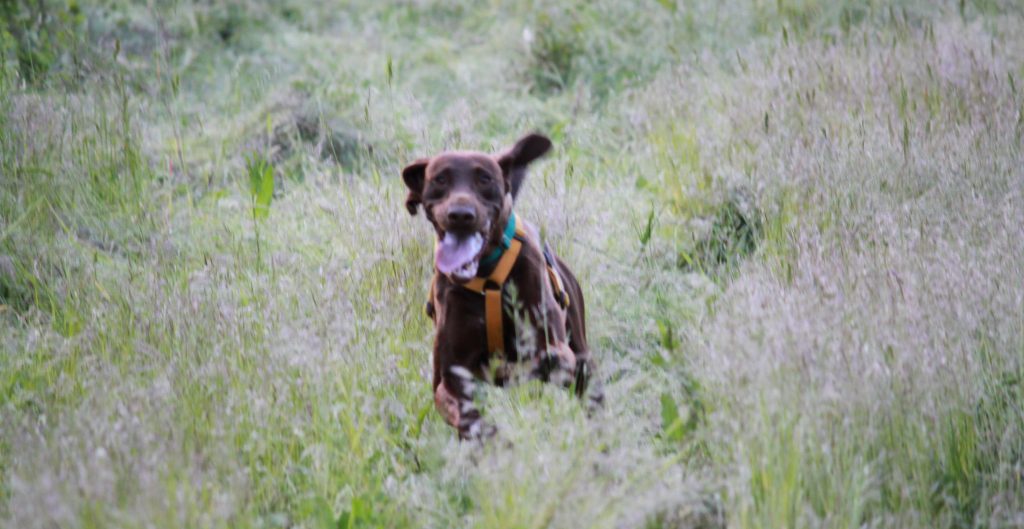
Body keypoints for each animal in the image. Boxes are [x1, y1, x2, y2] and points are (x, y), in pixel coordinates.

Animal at [399, 134, 593, 439]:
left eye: (485, 179)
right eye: (440, 179)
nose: (461, 215)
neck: (487, 276)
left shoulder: (559, 351)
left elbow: (546, 359)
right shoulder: (449, 380)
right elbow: (465, 411)